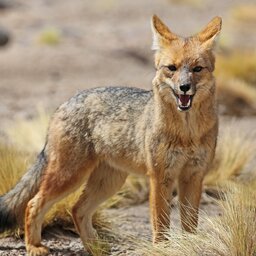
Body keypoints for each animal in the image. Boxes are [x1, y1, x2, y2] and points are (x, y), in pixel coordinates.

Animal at [0, 15, 221, 255]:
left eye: (197, 69)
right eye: (172, 68)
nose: (184, 87)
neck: (187, 133)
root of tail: (65, 103)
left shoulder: (194, 176)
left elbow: (190, 224)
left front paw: (191, 246)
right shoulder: (160, 177)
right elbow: (160, 223)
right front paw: (162, 249)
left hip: (108, 182)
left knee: (77, 209)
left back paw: (95, 247)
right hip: (69, 176)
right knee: (33, 203)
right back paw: (34, 246)